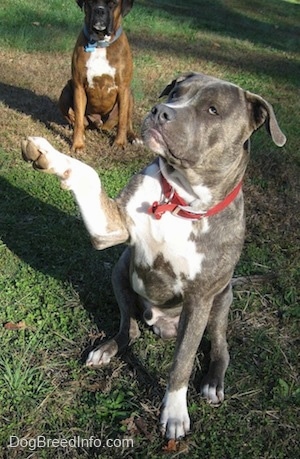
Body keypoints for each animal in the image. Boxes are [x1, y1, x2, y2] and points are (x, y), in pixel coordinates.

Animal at [21, 73, 286, 440]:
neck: (179, 200)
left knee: (220, 345)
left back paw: (213, 382)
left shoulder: (200, 298)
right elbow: (90, 174)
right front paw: (49, 155)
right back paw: (107, 348)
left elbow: (182, 362)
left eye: (212, 110)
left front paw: (174, 412)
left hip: (221, 297)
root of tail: (161, 325)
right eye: (176, 93)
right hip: (120, 270)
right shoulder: (112, 230)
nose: (161, 111)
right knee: (128, 328)